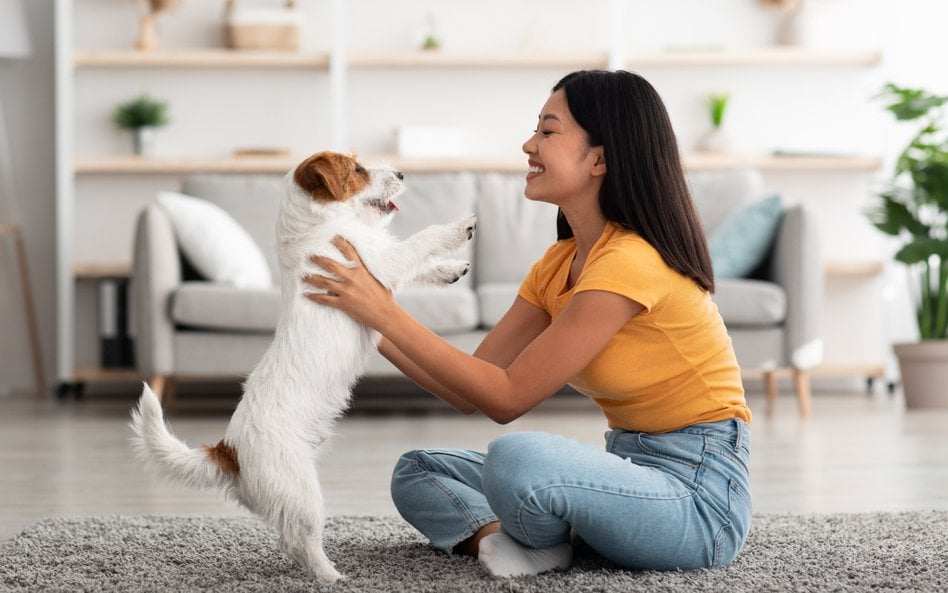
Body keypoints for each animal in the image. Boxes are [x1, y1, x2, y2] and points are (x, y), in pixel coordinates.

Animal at [130, 150, 478, 580]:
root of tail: (229, 451)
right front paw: (460, 227)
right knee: (300, 541)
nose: (401, 173)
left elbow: (419, 261)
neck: (316, 227)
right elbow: (419, 241)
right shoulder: (381, 261)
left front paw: (450, 269)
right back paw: (332, 576)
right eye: (358, 169)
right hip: (302, 493)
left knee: (289, 542)